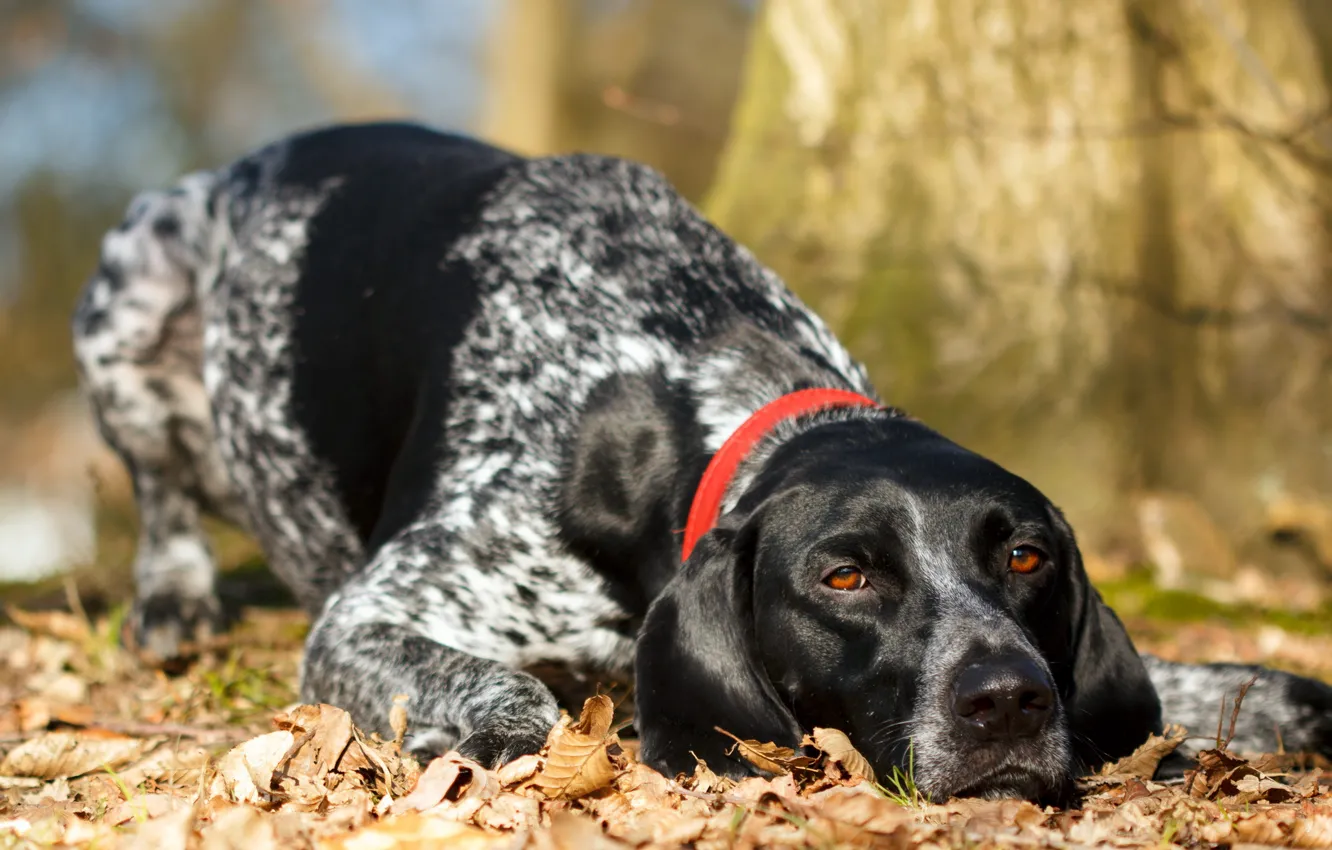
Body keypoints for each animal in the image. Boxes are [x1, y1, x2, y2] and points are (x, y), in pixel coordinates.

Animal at [72, 121, 1332, 804]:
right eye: (844, 576)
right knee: (162, 495)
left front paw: (1262, 693)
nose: (1010, 700)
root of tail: (251, 162)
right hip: (131, 284)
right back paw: (172, 598)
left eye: (1025, 557)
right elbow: (517, 695)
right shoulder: (369, 616)